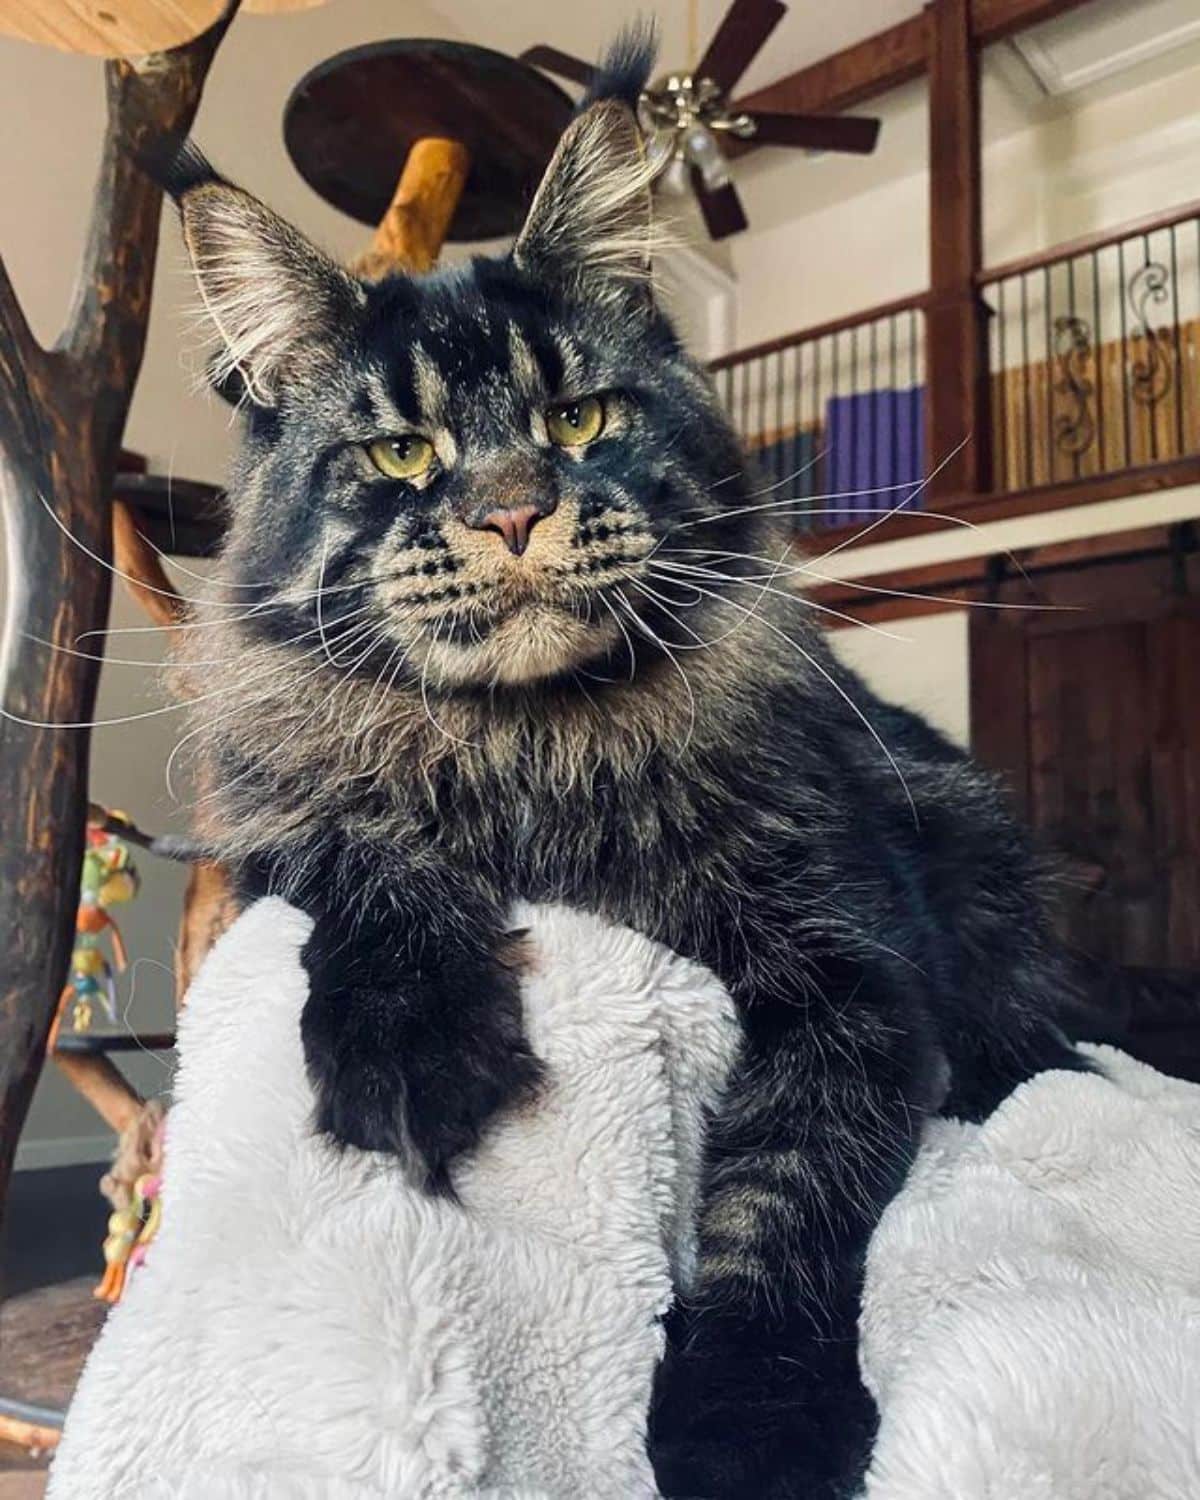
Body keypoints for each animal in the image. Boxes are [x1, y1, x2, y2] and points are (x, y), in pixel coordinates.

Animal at [159, 35, 1086, 1500]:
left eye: (581, 418)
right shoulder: (277, 840)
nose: (514, 511)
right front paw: (410, 1041)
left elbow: (777, 1205)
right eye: (402, 452)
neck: (533, 746)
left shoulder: (857, 977)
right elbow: (374, 864)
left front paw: (751, 1421)